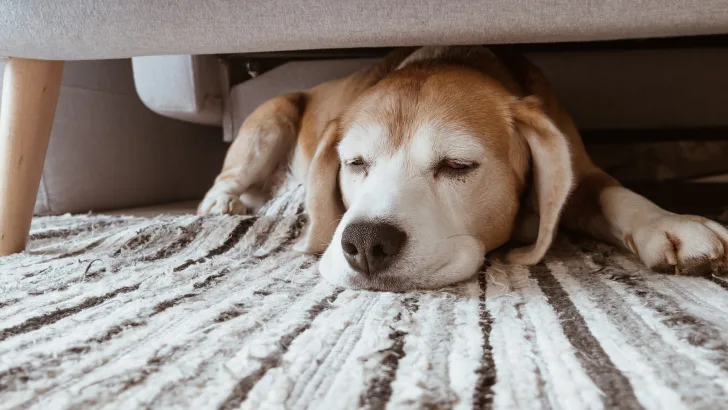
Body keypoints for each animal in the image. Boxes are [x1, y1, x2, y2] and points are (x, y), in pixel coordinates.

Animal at [199, 46, 728, 292]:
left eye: (457, 165)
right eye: (355, 163)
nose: (365, 243)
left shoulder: (581, 177)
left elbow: (615, 193)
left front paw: (671, 223)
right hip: (270, 118)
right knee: (227, 179)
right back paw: (221, 205)